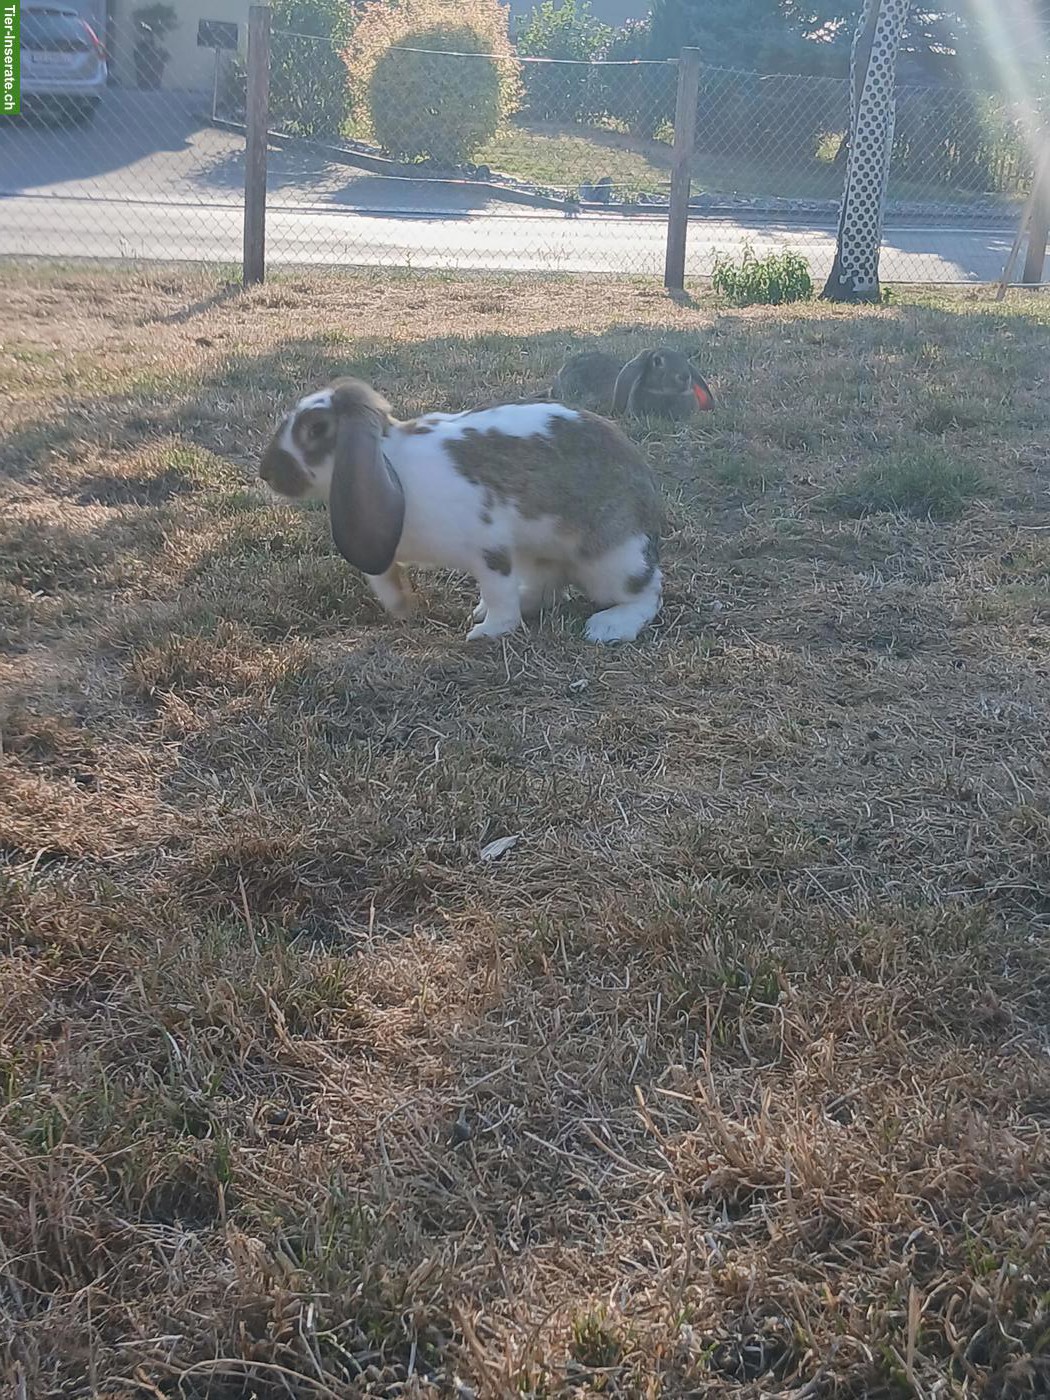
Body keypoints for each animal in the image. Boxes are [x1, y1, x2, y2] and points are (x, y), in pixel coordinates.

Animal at [259, 378, 664, 645]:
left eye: (315, 429)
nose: (266, 473)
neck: (392, 462)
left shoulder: (490, 550)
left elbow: (499, 596)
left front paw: (486, 632)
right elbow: (383, 579)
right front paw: (402, 607)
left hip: (612, 562)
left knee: (647, 594)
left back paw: (608, 627)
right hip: (537, 554)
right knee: (546, 588)